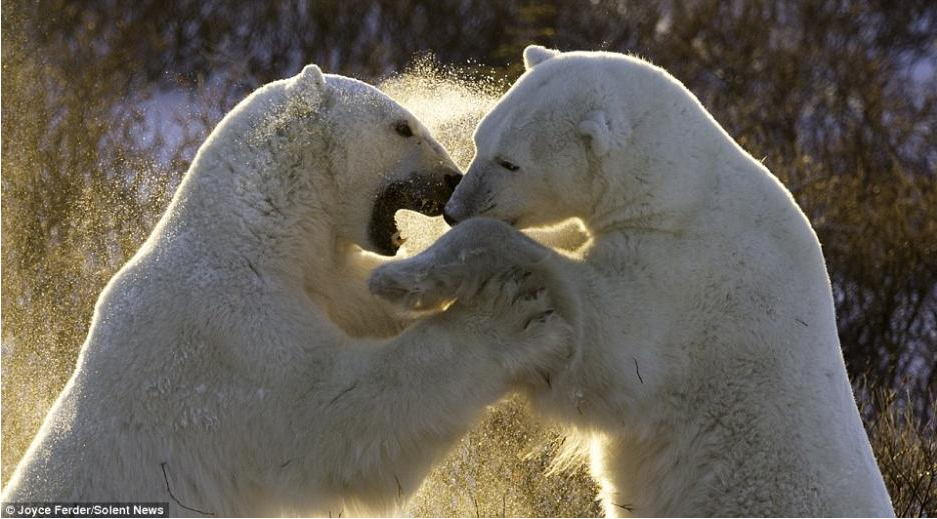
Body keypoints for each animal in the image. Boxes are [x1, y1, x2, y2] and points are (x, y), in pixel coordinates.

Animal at [1, 64, 572, 516]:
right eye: (402, 126)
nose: (451, 179)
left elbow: (365, 300)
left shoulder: (320, 284)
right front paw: (508, 313)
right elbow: (331, 418)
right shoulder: (230, 340)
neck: (251, 237)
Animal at [370, 46, 896, 516]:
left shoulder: (688, 279)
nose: (454, 210)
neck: (682, 190)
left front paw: (399, 280)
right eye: (480, 139)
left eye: (510, 162)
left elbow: (603, 349)